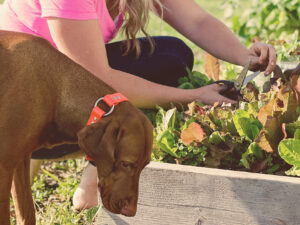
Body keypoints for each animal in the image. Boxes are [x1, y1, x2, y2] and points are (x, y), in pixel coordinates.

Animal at [0, 30, 154, 224]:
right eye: (126, 164)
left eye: (144, 165)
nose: (131, 212)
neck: (56, 89)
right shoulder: (4, 165)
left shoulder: (20, 160)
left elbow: (27, 212)